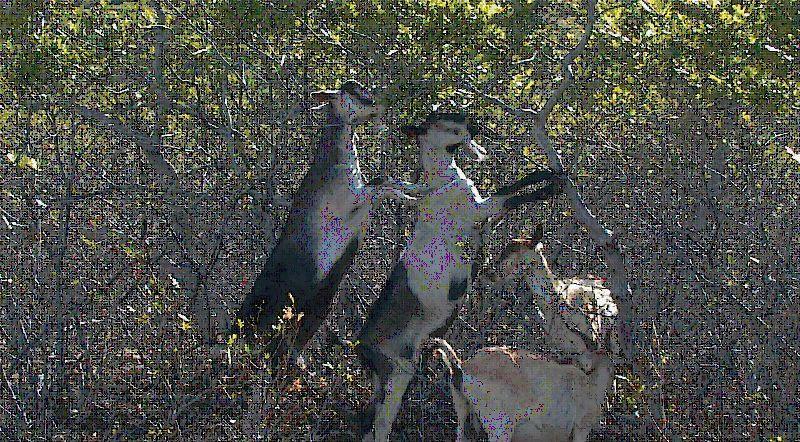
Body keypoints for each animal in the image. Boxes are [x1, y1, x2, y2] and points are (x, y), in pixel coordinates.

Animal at [231, 81, 418, 364]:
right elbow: (383, 185)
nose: (381, 103)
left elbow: (386, 180)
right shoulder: (353, 201)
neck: (336, 162)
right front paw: (411, 198)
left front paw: (415, 188)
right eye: (355, 92)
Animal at [356, 112, 564, 440]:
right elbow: (509, 194)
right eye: (443, 118)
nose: (477, 122)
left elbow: (508, 197)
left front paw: (548, 174)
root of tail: (361, 347)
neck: (442, 182)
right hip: (396, 379)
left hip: (393, 381)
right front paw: (551, 185)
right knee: (380, 429)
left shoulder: (483, 219)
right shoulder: (478, 210)